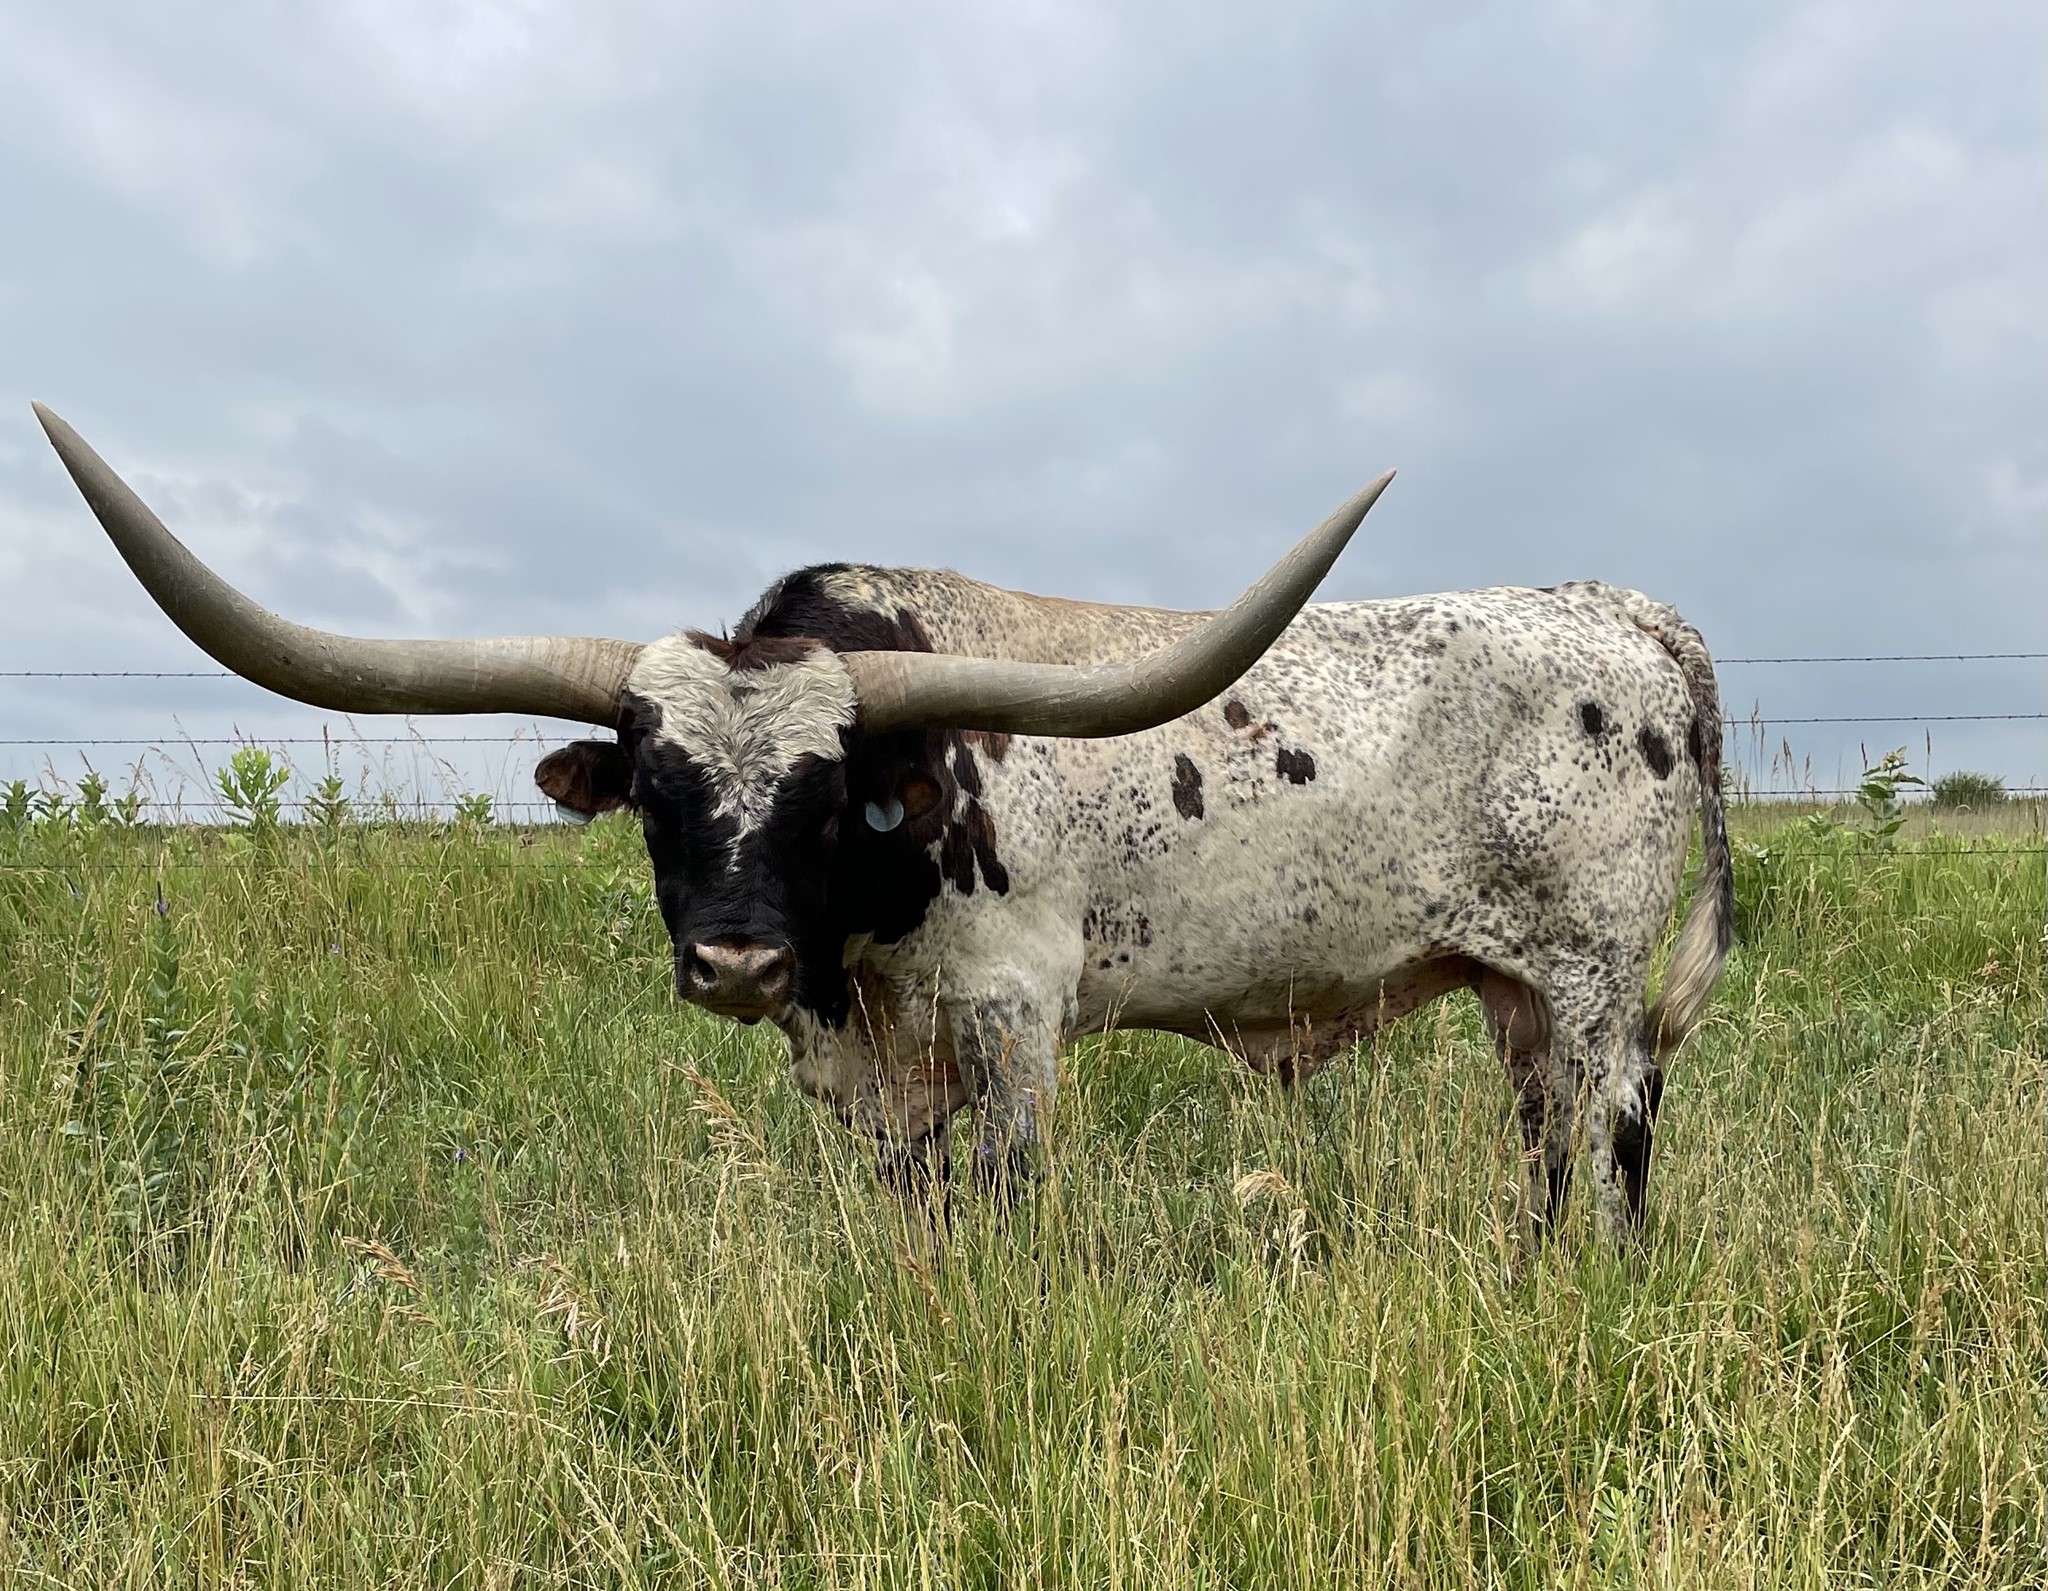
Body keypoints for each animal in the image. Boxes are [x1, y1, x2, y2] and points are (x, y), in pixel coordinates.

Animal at [35, 402, 1730, 1242]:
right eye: (655, 789)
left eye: (822, 794)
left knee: (1615, 1145)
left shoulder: (1015, 1010)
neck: (859, 940)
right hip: (1512, 991)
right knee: (1550, 1154)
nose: (734, 963)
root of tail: (1624, 611)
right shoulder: (868, 1053)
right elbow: (916, 1209)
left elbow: (1007, 1202)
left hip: (1592, 983)